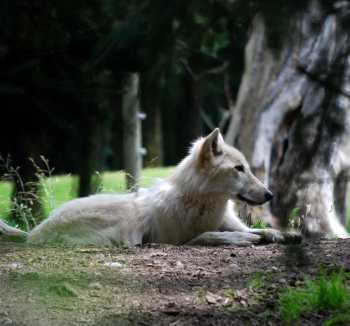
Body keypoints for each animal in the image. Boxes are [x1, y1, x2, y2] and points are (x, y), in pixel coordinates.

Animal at [0, 129, 300, 246]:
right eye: (239, 169)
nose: (270, 194)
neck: (202, 204)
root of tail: (34, 233)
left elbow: (262, 230)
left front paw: (284, 234)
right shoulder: (175, 240)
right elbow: (209, 236)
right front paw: (239, 239)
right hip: (126, 217)